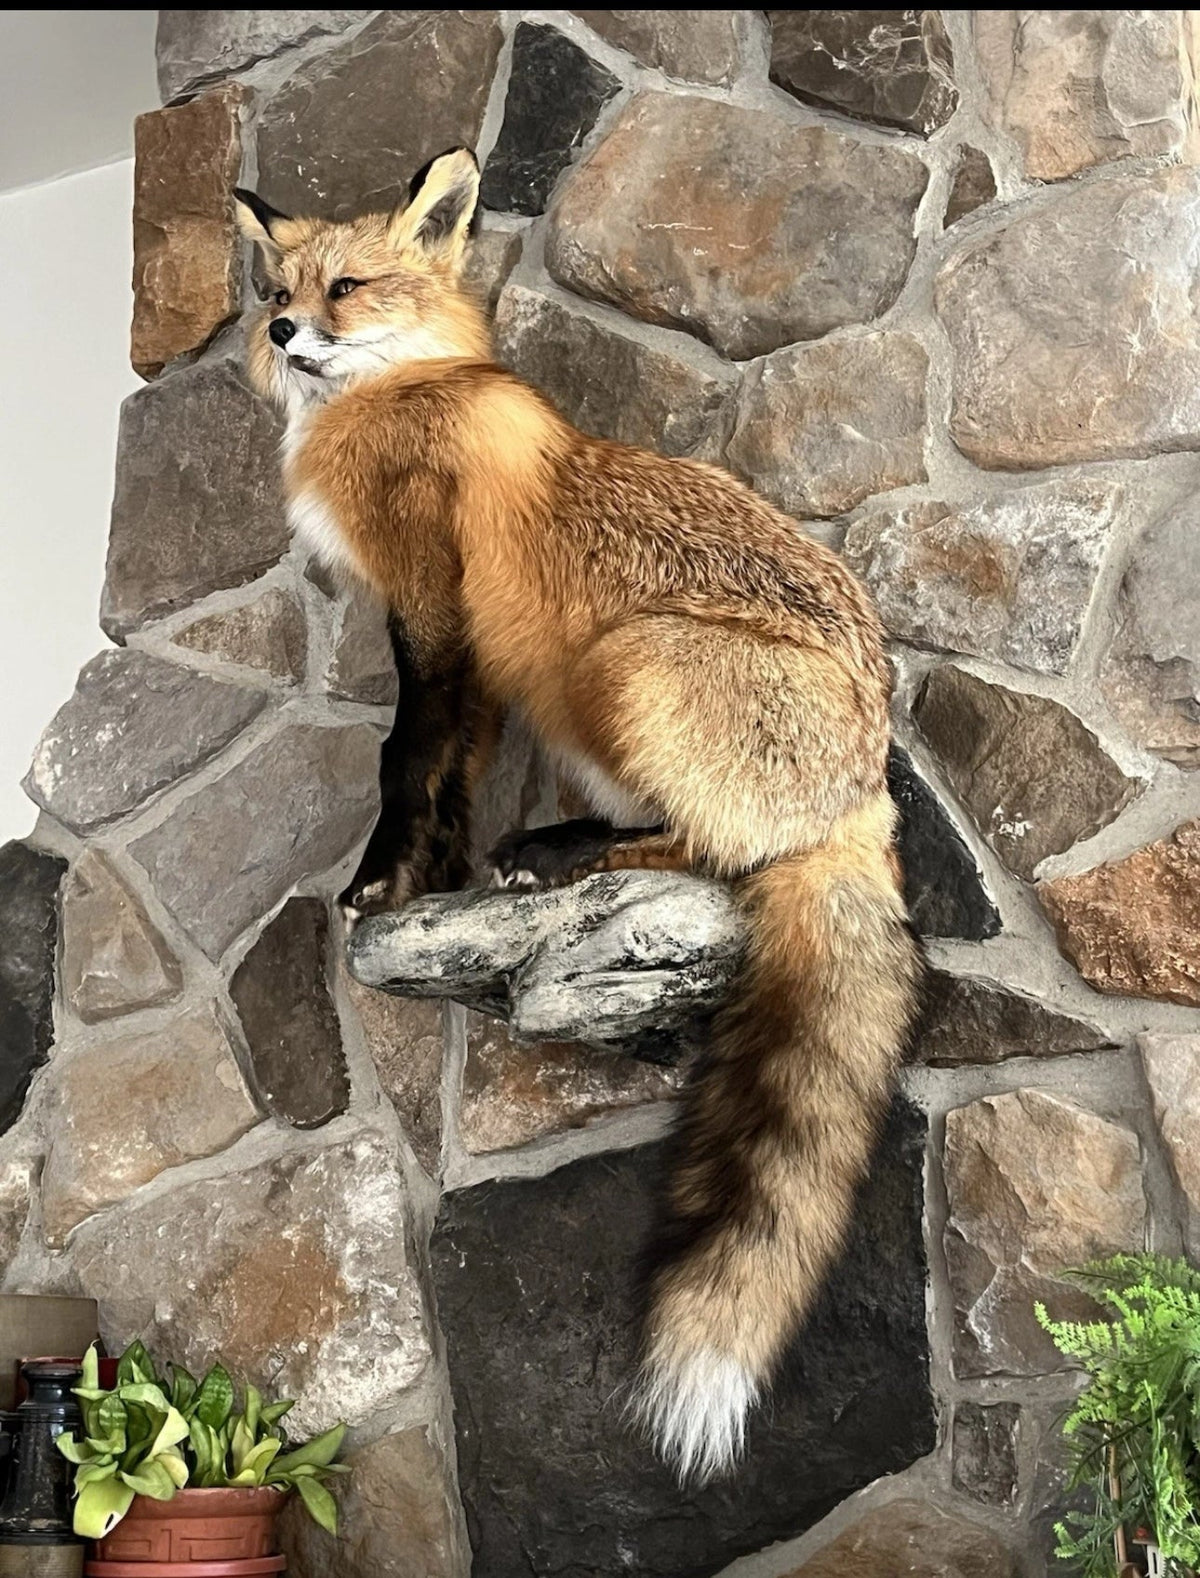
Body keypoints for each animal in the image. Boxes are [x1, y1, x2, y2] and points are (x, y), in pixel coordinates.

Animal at [234, 147, 920, 1483]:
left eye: (347, 287)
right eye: (276, 290)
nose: (282, 333)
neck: (402, 393)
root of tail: (867, 788)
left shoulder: (430, 599)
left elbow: (405, 755)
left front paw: (384, 881)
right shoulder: (464, 645)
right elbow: (449, 765)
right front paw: (433, 877)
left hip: (632, 668)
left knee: (714, 855)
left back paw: (558, 857)